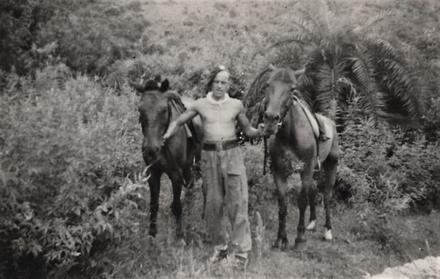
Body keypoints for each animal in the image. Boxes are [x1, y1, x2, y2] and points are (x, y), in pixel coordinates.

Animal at [130, 76, 200, 241]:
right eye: (140, 110)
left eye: (163, 110)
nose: (151, 149)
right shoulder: (153, 174)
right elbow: (153, 205)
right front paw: (152, 234)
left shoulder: (176, 175)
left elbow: (177, 206)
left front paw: (179, 235)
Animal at [256, 66, 338, 250]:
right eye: (268, 84)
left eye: (292, 89)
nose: (270, 119)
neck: (290, 135)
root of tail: (331, 123)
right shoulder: (279, 172)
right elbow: (283, 205)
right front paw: (281, 239)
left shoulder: (305, 170)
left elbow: (302, 201)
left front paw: (299, 238)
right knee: (314, 190)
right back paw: (312, 223)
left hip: (331, 166)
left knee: (327, 196)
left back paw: (328, 231)